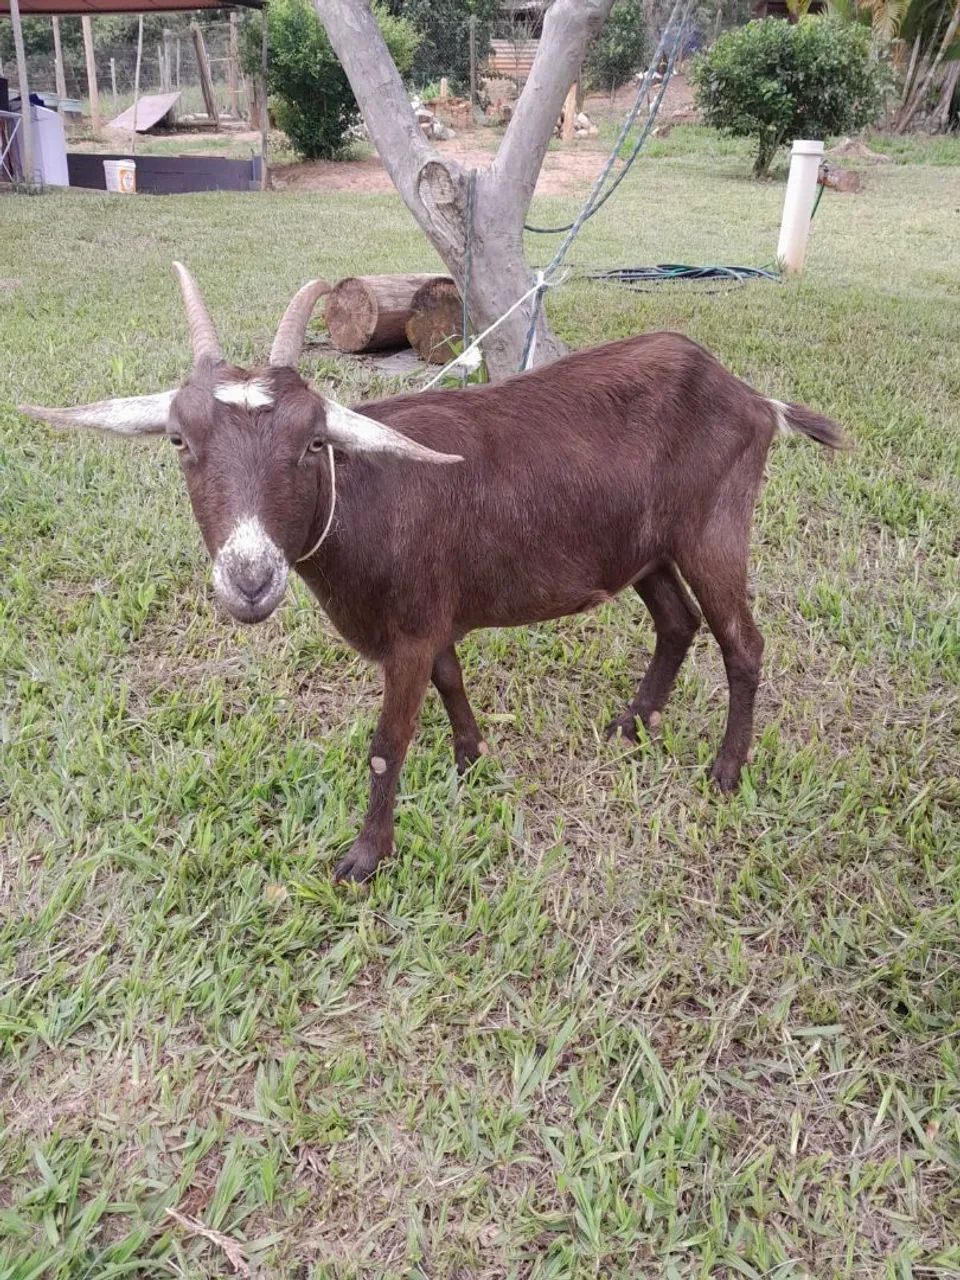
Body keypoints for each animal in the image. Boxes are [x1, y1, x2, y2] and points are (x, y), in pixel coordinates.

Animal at [22, 265, 846, 882]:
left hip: (713, 529)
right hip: (644, 545)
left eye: (312, 443)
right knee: (677, 621)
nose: (250, 580)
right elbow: (451, 681)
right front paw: (471, 760)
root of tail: (751, 397)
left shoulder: (409, 634)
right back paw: (631, 724)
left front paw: (364, 858)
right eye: (178, 441)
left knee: (741, 641)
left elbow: (388, 741)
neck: (363, 498)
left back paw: (725, 771)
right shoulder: (431, 613)